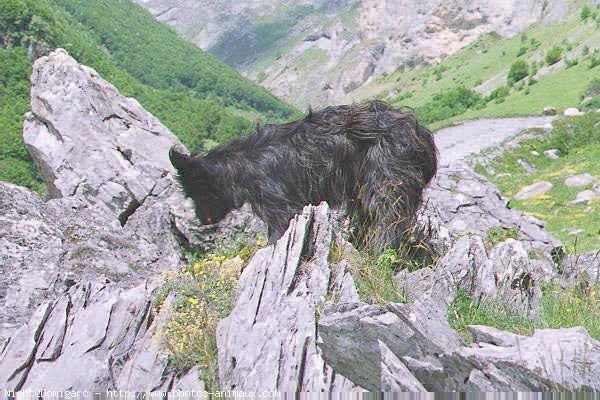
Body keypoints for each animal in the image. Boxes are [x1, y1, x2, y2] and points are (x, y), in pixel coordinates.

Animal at [169, 101, 436, 250]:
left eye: (193, 192)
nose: (202, 221)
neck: (243, 165)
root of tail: (418, 131)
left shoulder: (279, 207)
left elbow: (275, 235)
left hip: (385, 183)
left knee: (388, 219)